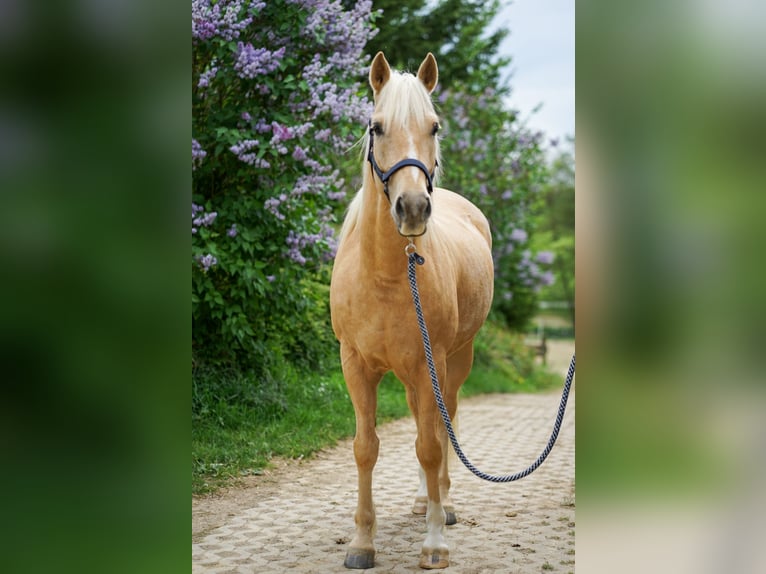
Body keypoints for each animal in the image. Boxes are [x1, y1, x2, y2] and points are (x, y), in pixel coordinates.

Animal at [329, 52, 494, 570]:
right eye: (376, 127)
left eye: (434, 126)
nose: (415, 208)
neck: (386, 274)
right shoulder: (355, 365)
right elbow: (366, 448)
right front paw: (362, 542)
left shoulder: (430, 363)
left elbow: (429, 446)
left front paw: (435, 542)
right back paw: (424, 501)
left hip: (455, 361)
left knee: (443, 427)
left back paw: (442, 503)